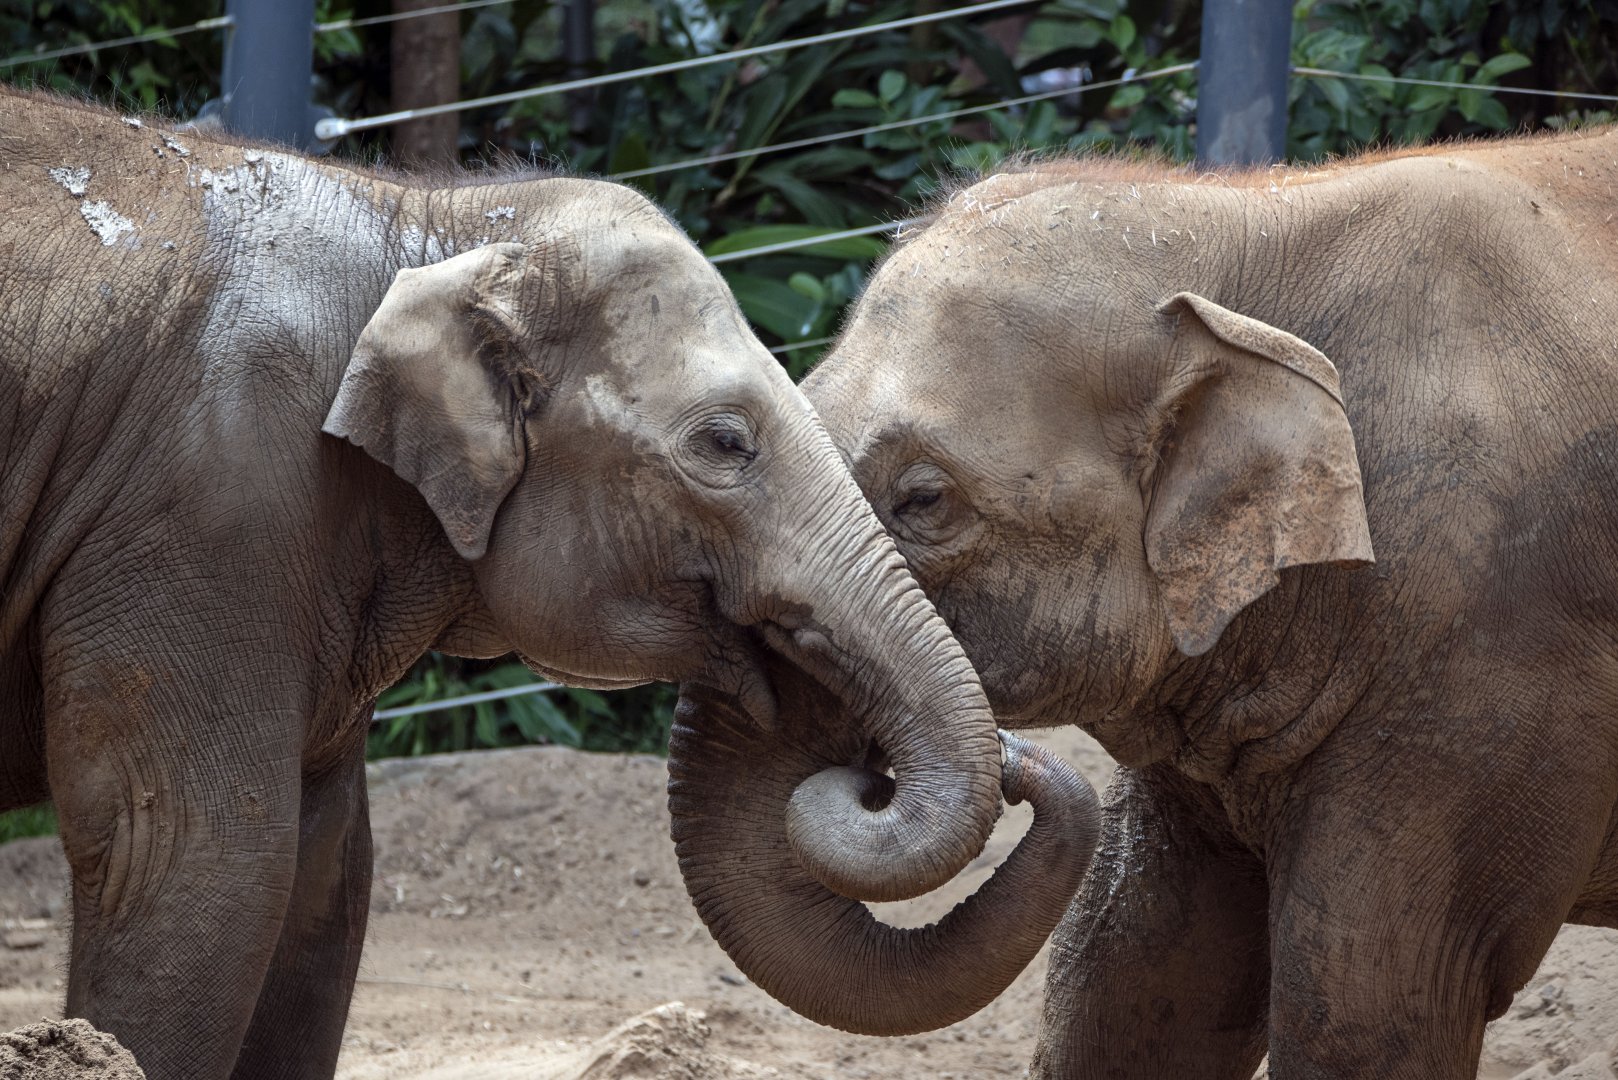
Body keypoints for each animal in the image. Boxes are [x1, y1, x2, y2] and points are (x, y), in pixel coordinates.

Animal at [0, 88, 1095, 1079]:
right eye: (726, 443)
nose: (1023, 763)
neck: (429, 220)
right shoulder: (208, 503)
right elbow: (189, 851)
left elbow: (325, 869)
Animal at [698, 131, 1618, 1076]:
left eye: (923, 500)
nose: (1012, 761)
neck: (1241, 219)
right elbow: (1134, 974)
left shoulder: (1485, 653)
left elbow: (1373, 1006)